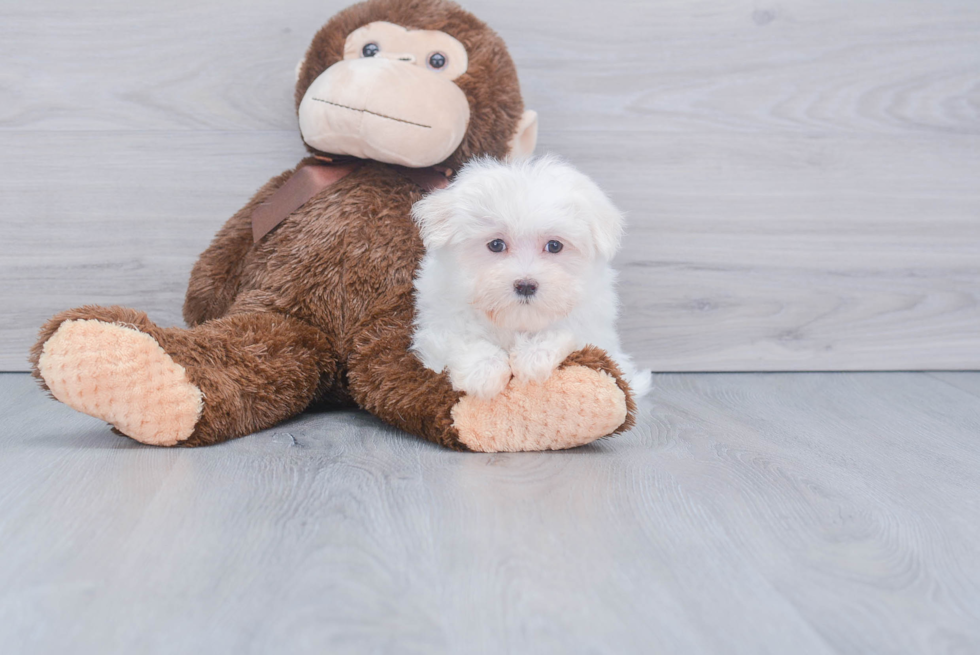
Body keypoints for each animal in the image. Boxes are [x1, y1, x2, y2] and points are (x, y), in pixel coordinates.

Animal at [412, 156, 652, 402]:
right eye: (496, 244)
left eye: (554, 246)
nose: (526, 285)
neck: (517, 323)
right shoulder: (438, 324)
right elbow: (458, 336)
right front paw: (483, 371)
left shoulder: (596, 329)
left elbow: (570, 330)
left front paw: (533, 357)